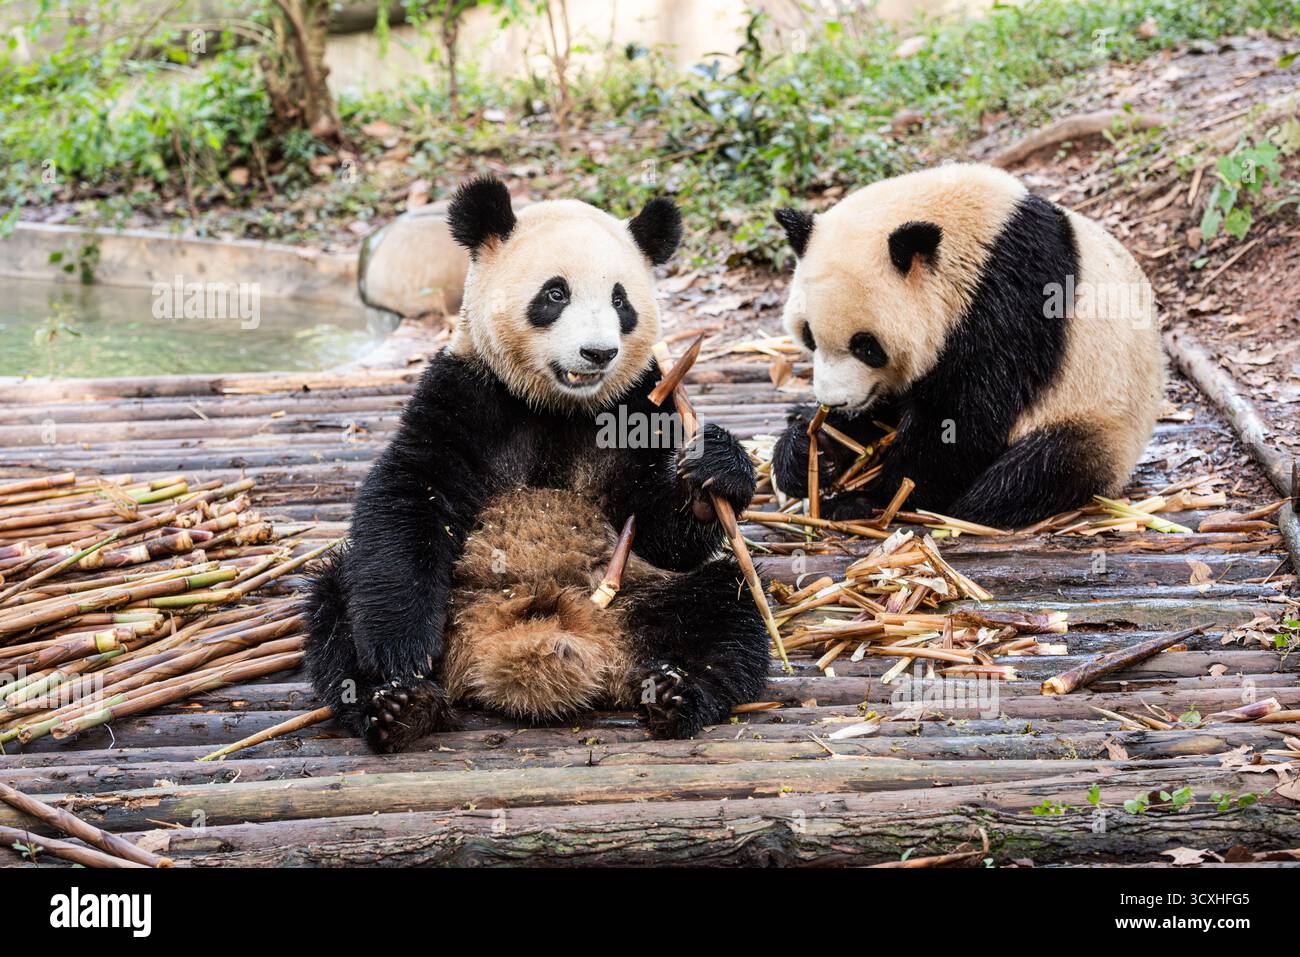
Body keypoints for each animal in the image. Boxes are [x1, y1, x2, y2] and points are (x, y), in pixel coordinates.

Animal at [305, 177, 769, 754]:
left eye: (621, 300)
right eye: (555, 294)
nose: (598, 353)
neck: (559, 405)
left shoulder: (641, 403)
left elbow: (659, 529)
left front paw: (713, 471)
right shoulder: (466, 393)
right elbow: (410, 494)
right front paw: (402, 654)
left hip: (642, 595)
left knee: (727, 608)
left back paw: (674, 694)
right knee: (335, 602)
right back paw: (400, 706)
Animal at [770, 163, 1163, 529]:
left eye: (866, 347)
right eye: (808, 336)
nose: (835, 401)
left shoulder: (1011, 302)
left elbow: (965, 421)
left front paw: (870, 497)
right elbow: (887, 412)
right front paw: (810, 450)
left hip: (1097, 416)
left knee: (1037, 469)